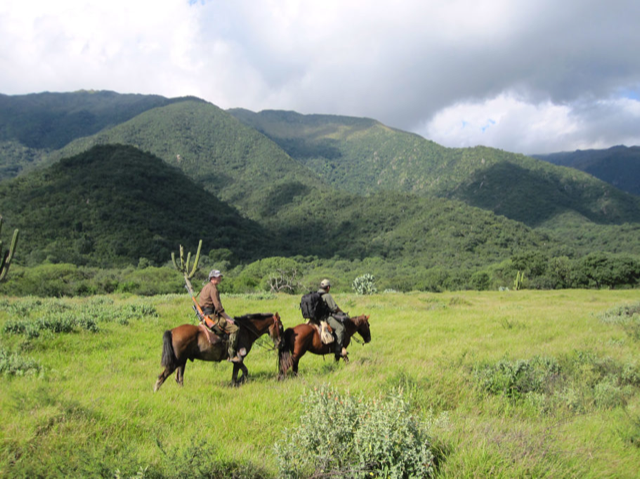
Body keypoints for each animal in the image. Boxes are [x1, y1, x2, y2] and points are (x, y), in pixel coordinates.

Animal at [152, 314, 282, 392]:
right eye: (280, 327)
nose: (281, 342)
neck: (246, 330)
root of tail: (172, 331)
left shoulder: (236, 361)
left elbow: (235, 374)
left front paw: (234, 384)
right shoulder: (238, 359)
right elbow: (243, 371)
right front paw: (239, 382)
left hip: (182, 361)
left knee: (179, 378)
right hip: (175, 362)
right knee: (162, 377)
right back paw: (156, 391)